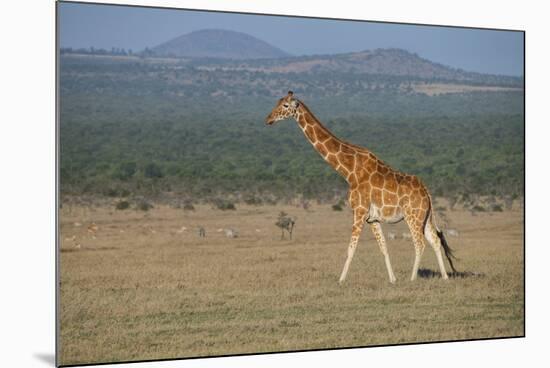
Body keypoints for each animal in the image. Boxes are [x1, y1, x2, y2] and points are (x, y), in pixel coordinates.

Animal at [266, 92, 458, 284]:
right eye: (277, 102)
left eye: (285, 105)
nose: (268, 119)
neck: (349, 171)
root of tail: (427, 192)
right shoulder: (372, 219)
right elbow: (383, 248)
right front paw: (392, 279)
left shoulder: (358, 211)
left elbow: (351, 249)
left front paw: (341, 280)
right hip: (425, 217)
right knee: (435, 240)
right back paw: (445, 277)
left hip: (413, 216)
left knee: (420, 243)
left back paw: (412, 279)